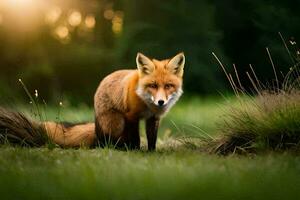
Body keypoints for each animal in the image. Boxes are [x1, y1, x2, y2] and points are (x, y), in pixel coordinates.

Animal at [0, 52, 185, 151]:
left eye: (168, 86)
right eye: (152, 85)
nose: (161, 102)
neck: (147, 104)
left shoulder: (153, 118)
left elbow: (152, 139)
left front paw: (151, 153)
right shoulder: (131, 116)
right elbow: (137, 139)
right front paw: (136, 151)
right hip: (117, 122)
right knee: (105, 143)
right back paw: (117, 146)